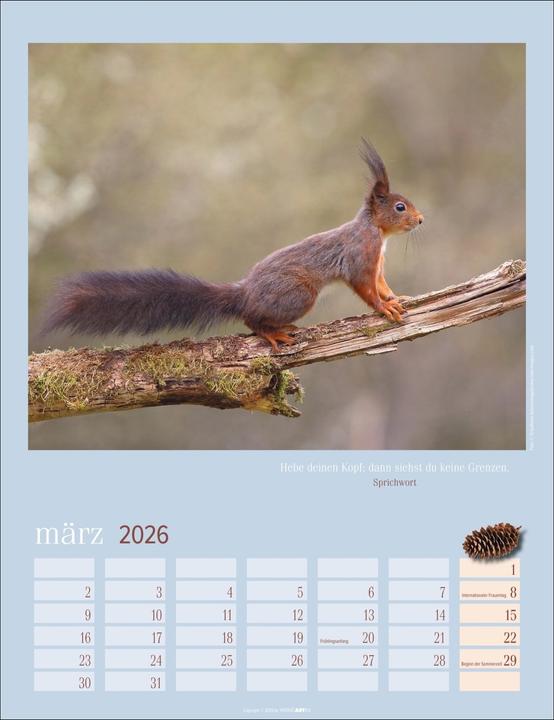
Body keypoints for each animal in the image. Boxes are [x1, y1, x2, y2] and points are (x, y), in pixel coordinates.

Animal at [43, 139, 424, 351]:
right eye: (399, 207)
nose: (421, 220)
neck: (377, 232)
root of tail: (244, 293)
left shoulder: (378, 263)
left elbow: (381, 283)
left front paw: (396, 298)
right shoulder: (361, 255)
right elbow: (365, 288)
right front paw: (383, 308)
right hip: (299, 295)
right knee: (251, 320)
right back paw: (273, 334)